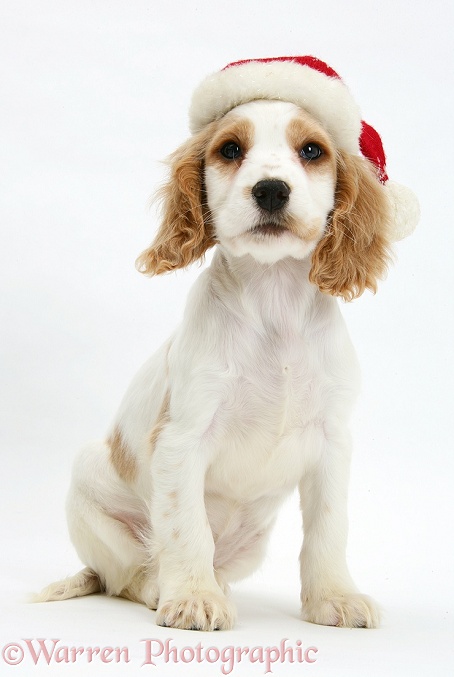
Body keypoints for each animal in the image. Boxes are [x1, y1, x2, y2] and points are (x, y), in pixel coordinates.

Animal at [36, 56, 418, 628]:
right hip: (90, 485)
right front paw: (193, 598)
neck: (273, 303)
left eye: (312, 151)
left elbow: (328, 529)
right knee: (128, 574)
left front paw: (334, 597)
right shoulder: (182, 437)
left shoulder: (333, 440)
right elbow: (185, 528)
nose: (271, 190)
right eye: (231, 150)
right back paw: (165, 586)